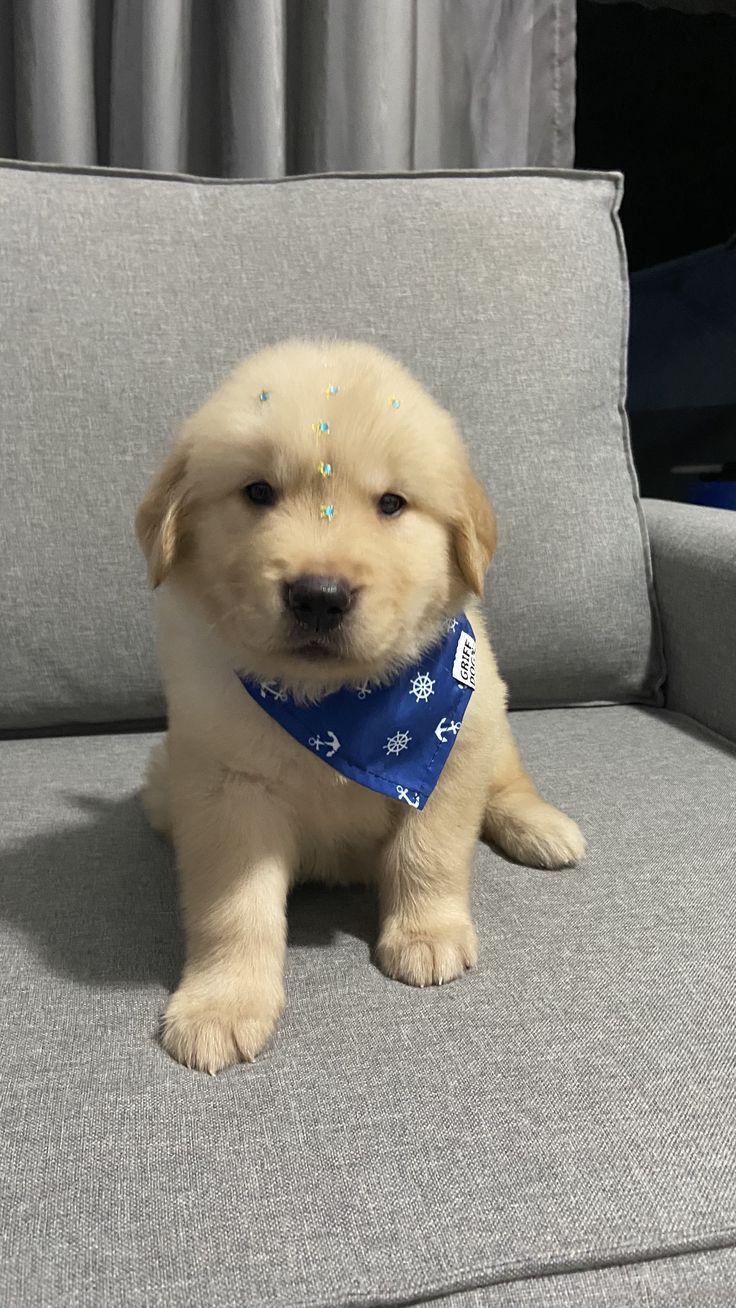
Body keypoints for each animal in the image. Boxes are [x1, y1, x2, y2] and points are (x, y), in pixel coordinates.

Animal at [135, 337, 585, 1072]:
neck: (334, 704)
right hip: (162, 776)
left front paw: (426, 933)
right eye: (258, 493)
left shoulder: (450, 751)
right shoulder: (224, 786)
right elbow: (234, 908)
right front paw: (222, 1004)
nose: (319, 596)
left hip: (490, 719)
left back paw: (540, 827)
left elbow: (428, 851)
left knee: (508, 784)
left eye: (392, 504)